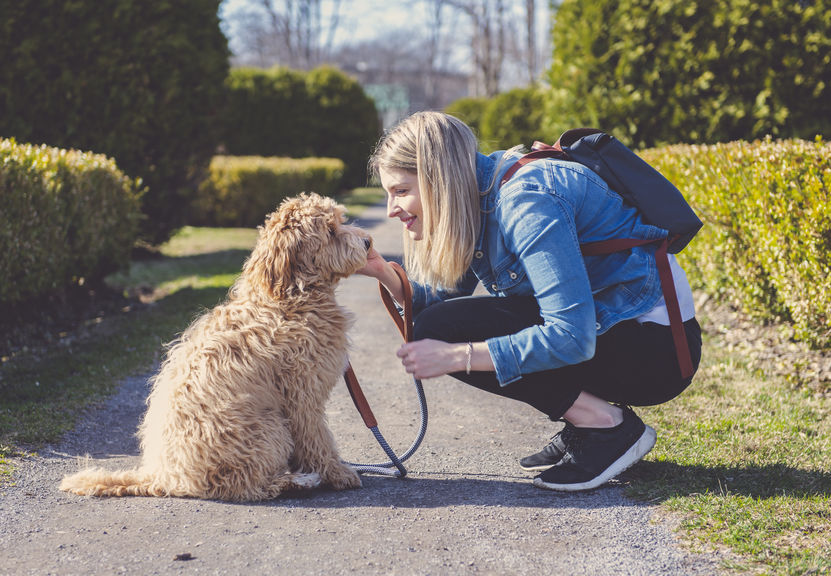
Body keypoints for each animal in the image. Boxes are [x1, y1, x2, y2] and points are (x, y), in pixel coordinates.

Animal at [59, 192, 370, 500]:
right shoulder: (302, 396)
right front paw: (337, 473)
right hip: (268, 428)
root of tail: (165, 476)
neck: (288, 300)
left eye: (340, 221)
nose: (368, 242)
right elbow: (317, 439)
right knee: (245, 484)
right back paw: (295, 481)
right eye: (331, 231)